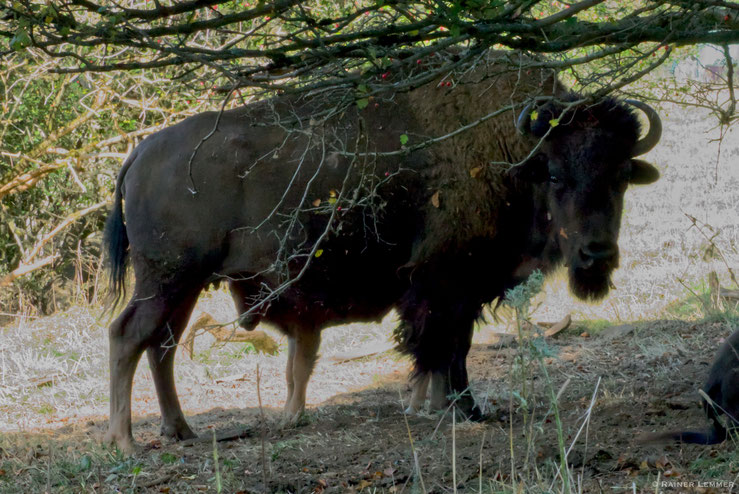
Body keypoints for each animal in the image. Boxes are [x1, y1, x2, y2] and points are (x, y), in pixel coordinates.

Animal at [101, 50, 660, 452]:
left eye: (620, 176)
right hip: (167, 278)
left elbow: (446, 349)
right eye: (557, 176)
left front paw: (440, 406)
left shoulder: (458, 291)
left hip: (185, 285)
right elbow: (447, 349)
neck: (511, 156)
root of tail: (140, 152)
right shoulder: (447, 284)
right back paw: (126, 443)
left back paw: (181, 431)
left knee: (162, 345)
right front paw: (464, 410)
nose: (596, 254)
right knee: (128, 337)